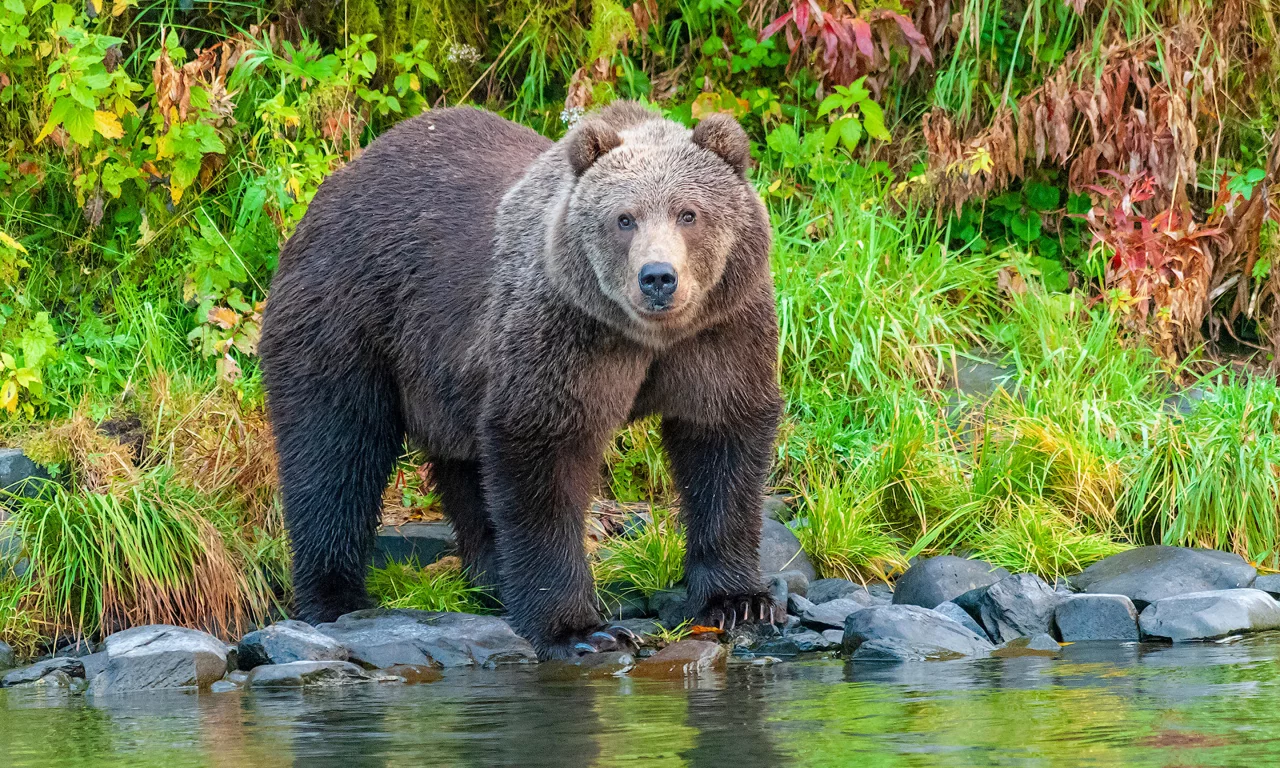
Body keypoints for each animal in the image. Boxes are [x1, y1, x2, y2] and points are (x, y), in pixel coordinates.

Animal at [258, 99, 778, 655]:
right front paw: (579, 629)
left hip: (448, 373)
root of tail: (333, 188)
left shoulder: (721, 330)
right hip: (347, 318)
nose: (658, 277)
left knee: (465, 469)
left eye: (688, 213)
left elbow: (722, 440)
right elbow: (542, 451)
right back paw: (335, 598)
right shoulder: (564, 329)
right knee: (335, 451)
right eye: (624, 219)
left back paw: (490, 577)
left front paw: (739, 600)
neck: (647, 337)